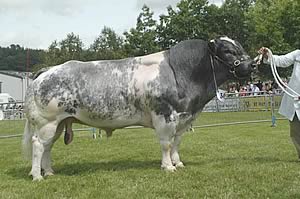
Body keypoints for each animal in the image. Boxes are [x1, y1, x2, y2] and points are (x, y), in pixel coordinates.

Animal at [22, 35, 255, 180]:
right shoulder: (164, 115)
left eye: (239, 46)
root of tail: (47, 70)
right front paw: (168, 166)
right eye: (228, 50)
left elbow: (177, 143)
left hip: (59, 122)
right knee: (38, 145)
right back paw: (37, 176)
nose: (252, 64)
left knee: (48, 147)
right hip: (46, 121)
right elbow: (166, 144)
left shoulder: (183, 118)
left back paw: (49, 172)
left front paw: (178, 163)